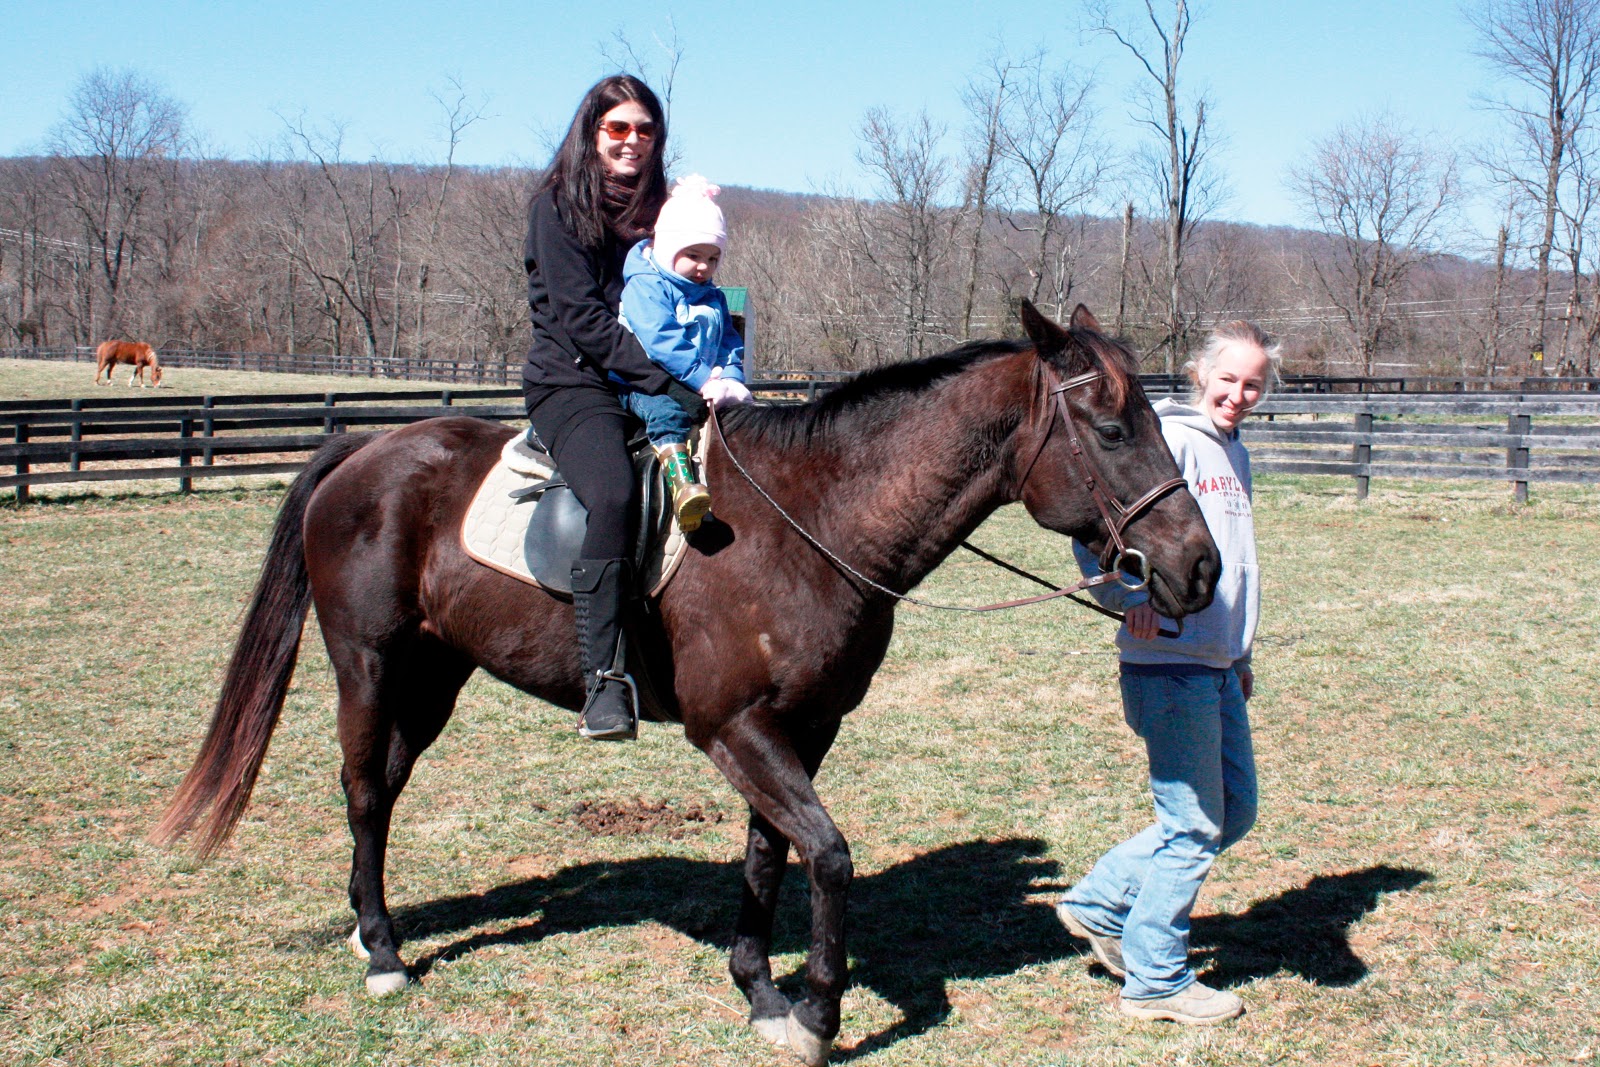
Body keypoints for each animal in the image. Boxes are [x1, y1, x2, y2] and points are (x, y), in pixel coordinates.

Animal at [152, 303, 1220, 1065]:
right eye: (1112, 428)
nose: (1200, 568)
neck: (808, 522)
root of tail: (362, 449)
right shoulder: (732, 727)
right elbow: (829, 855)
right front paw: (817, 1013)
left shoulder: (801, 726)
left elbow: (769, 854)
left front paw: (760, 989)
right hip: (369, 663)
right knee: (366, 787)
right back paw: (382, 951)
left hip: (435, 671)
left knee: (381, 785)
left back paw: (364, 922)